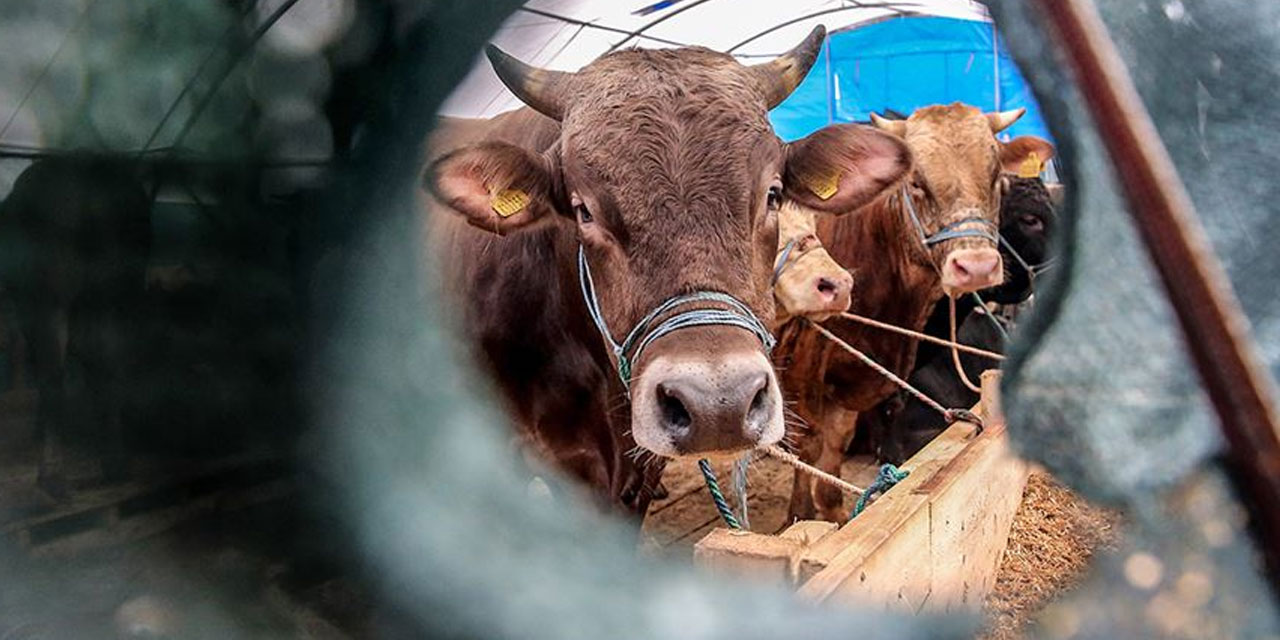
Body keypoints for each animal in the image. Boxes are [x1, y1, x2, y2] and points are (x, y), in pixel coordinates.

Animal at [0, 157, 151, 496]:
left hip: (52, 302)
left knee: (54, 375)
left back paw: (52, 476)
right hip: (119, 293)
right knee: (112, 364)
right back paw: (115, 463)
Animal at [773, 103, 1054, 524]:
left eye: (995, 178)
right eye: (918, 182)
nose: (976, 266)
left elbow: (836, 449)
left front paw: (837, 511)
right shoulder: (801, 370)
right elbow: (806, 445)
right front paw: (800, 514)